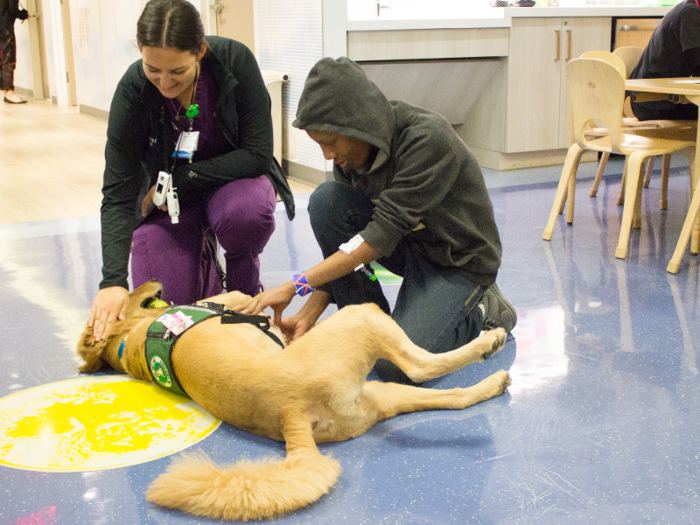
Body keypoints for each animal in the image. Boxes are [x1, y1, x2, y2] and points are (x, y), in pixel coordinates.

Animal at [79, 280, 512, 516]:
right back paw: (488, 342)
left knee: (454, 395)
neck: (129, 339)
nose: (152, 281)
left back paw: (491, 383)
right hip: (364, 317)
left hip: (380, 393)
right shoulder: (236, 296)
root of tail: (292, 417)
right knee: (421, 365)